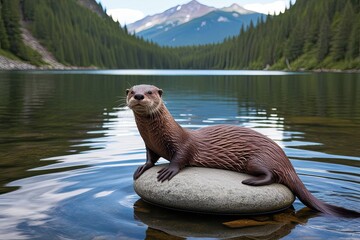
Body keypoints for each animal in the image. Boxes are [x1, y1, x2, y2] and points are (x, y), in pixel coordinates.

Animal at [126, 84, 360, 218]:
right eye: (132, 91)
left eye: (149, 92)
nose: (138, 96)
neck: (156, 135)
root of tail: (286, 161)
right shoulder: (149, 145)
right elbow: (150, 158)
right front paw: (141, 168)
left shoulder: (182, 144)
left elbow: (181, 158)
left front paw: (168, 170)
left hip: (258, 159)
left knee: (272, 175)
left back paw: (250, 181)